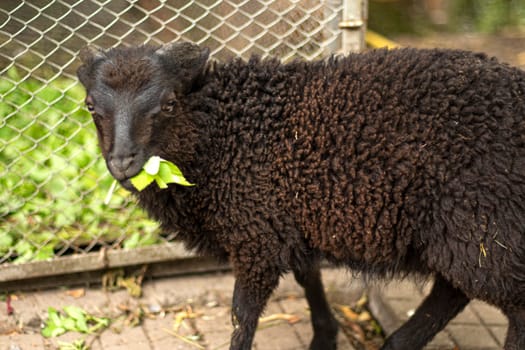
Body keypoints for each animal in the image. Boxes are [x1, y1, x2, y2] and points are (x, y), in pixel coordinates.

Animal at [77, 42, 524, 348]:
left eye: (169, 103)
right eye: (91, 106)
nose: (122, 162)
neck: (221, 135)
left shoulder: (254, 234)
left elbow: (242, 315)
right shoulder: (288, 220)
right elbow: (309, 279)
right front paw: (324, 336)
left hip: (487, 227)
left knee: (509, 306)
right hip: (467, 235)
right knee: (452, 292)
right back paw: (398, 343)